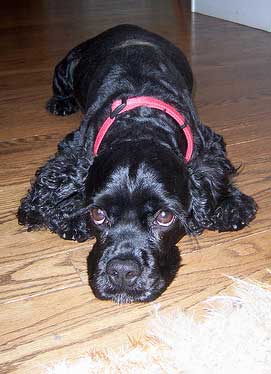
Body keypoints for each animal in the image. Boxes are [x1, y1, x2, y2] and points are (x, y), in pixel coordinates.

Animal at [17, 24, 258, 302]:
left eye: (164, 217)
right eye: (97, 214)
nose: (122, 272)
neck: (140, 125)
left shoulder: (206, 141)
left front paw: (230, 205)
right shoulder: (75, 145)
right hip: (65, 67)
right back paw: (60, 103)